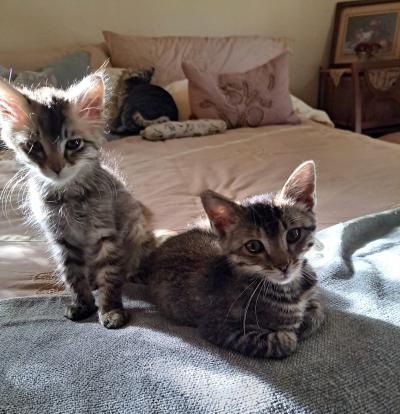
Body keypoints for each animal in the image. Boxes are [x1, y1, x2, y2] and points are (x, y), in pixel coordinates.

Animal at [0, 73, 155, 328]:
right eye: (34, 146)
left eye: (73, 144)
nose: (56, 167)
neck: (68, 196)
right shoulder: (61, 240)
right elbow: (73, 276)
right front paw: (83, 304)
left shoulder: (105, 234)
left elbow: (110, 276)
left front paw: (111, 310)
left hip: (139, 232)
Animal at [145, 162, 324, 360]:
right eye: (253, 246)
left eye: (293, 234)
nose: (283, 266)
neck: (291, 288)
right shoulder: (218, 327)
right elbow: (286, 340)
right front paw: (294, 330)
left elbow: (318, 311)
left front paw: (306, 319)